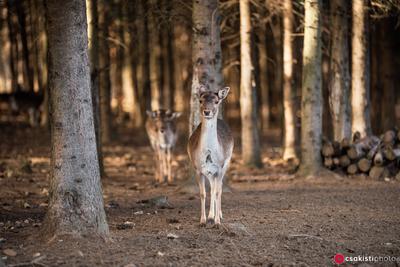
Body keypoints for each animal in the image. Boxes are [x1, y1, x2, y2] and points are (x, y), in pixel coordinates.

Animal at [188, 87, 234, 227]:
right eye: (200, 100)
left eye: (217, 101)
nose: (207, 111)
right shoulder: (198, 169)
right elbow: (203, 193)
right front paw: (203, 220)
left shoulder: (219, 167)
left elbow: (218, 191)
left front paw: (217, 222)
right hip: (209, 172)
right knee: (212, 187)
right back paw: (210, 215)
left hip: (226, 163)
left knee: (218, 188)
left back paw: (218, 215)